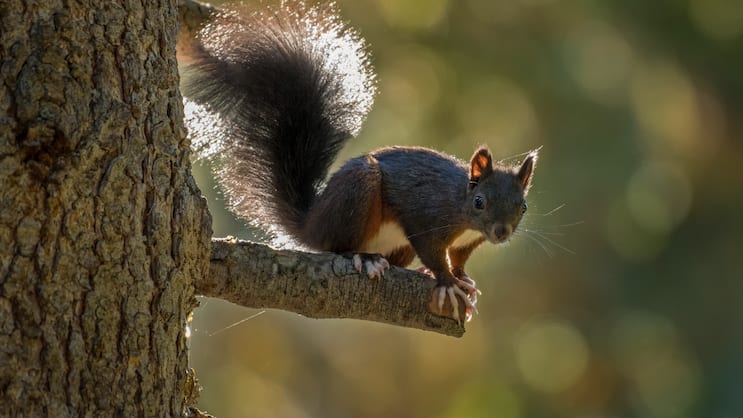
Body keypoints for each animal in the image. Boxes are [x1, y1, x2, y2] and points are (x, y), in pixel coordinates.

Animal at [183, 2, 537, 323]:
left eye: (523, 206)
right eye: (480, 202)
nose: (501, 232)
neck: (460, 204)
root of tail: (311, 226)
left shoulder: (467, 242)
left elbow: (459, 256)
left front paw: (462, 278)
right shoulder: (427, 216)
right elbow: (433, 251)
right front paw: (447, 281)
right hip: (358, 191)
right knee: (338, 246)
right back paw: (364, 258)